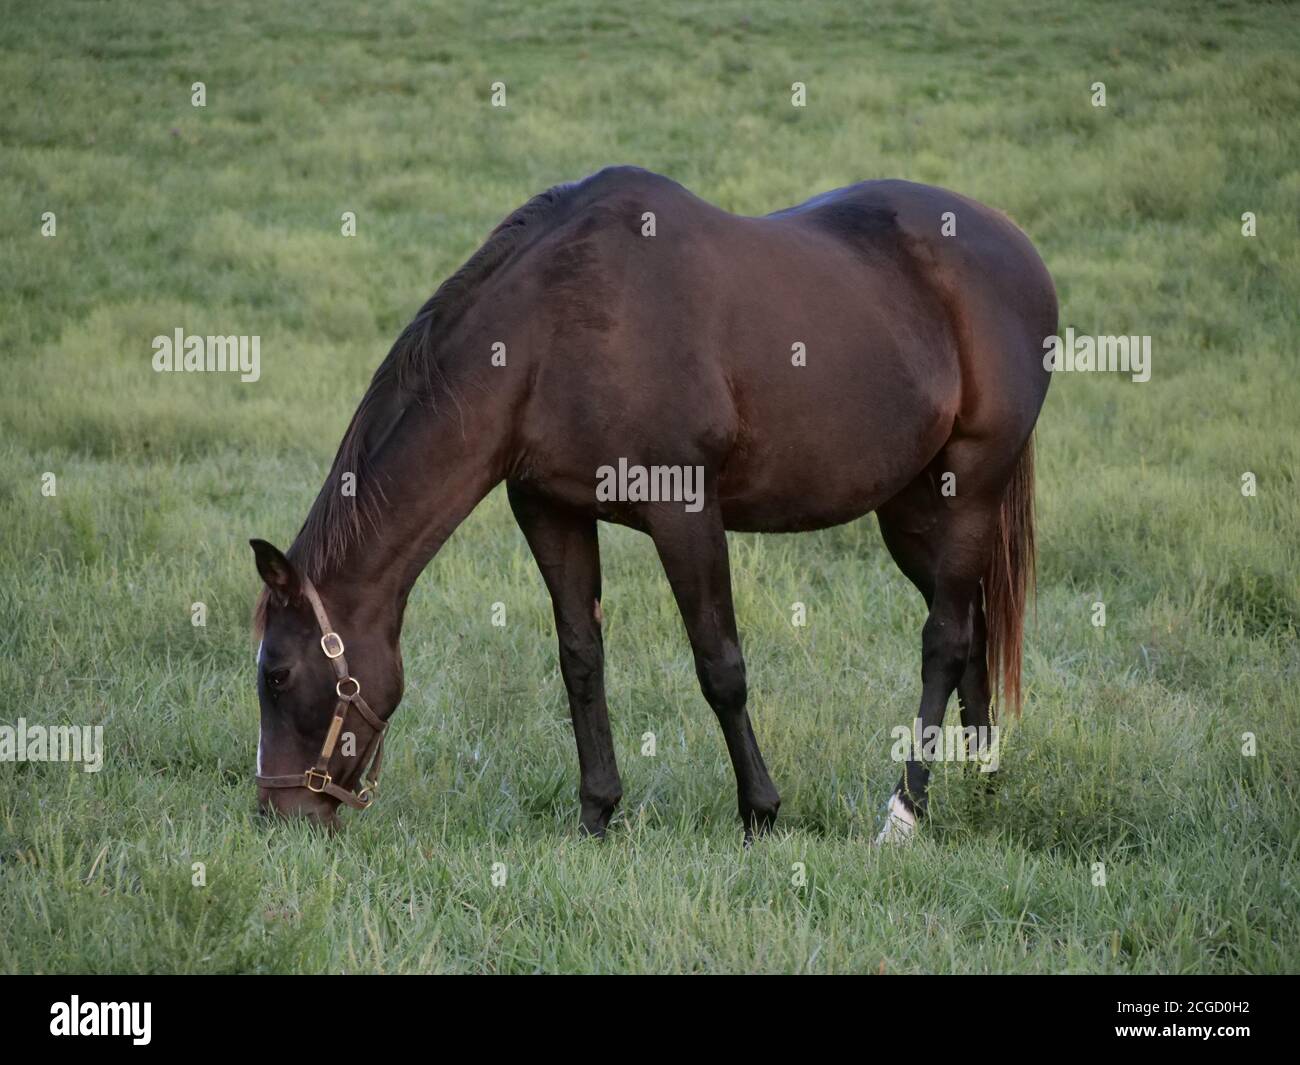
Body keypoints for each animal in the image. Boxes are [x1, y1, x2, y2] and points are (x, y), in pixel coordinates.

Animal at [250, 165, 1055, 842]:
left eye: (277, 674)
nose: (279, 815)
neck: (553, 331)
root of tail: (1016, 245)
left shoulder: (686, 512)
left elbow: (720, 666)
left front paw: (760, 811)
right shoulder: (550, 510)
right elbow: (581, 659)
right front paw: (596, 813)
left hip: (972, 487)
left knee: (943, 640)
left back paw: (905, 810)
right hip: (913, 511)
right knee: (974, 630)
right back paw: (981, 787)